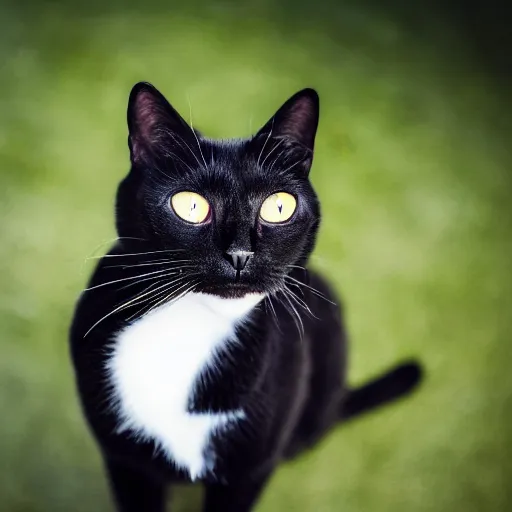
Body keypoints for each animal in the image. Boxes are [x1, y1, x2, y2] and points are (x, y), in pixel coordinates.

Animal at [70, 82, 422, 510]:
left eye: (279, 206)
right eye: (190, 205)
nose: (240, 253)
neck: (190, 327)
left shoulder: (249, 473)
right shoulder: (126, 463)